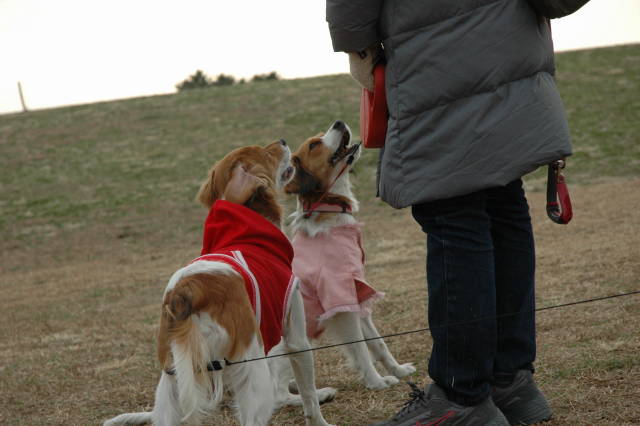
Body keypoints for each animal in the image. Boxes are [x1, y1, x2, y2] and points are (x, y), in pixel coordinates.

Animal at [104, 141, 336, 426]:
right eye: (264, 152)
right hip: (253, 373)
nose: (282, 141)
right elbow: (308, 396)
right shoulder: (296, 338)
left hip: (173, 381)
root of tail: (185, 292)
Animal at [284, 121, 416, 392]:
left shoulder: (357, 292)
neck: (330, 212)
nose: (339, 122)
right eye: (314, 144)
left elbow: (378, 342)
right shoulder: (340, 301)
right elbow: (361, 348)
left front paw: (397, 371)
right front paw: (376, 382)